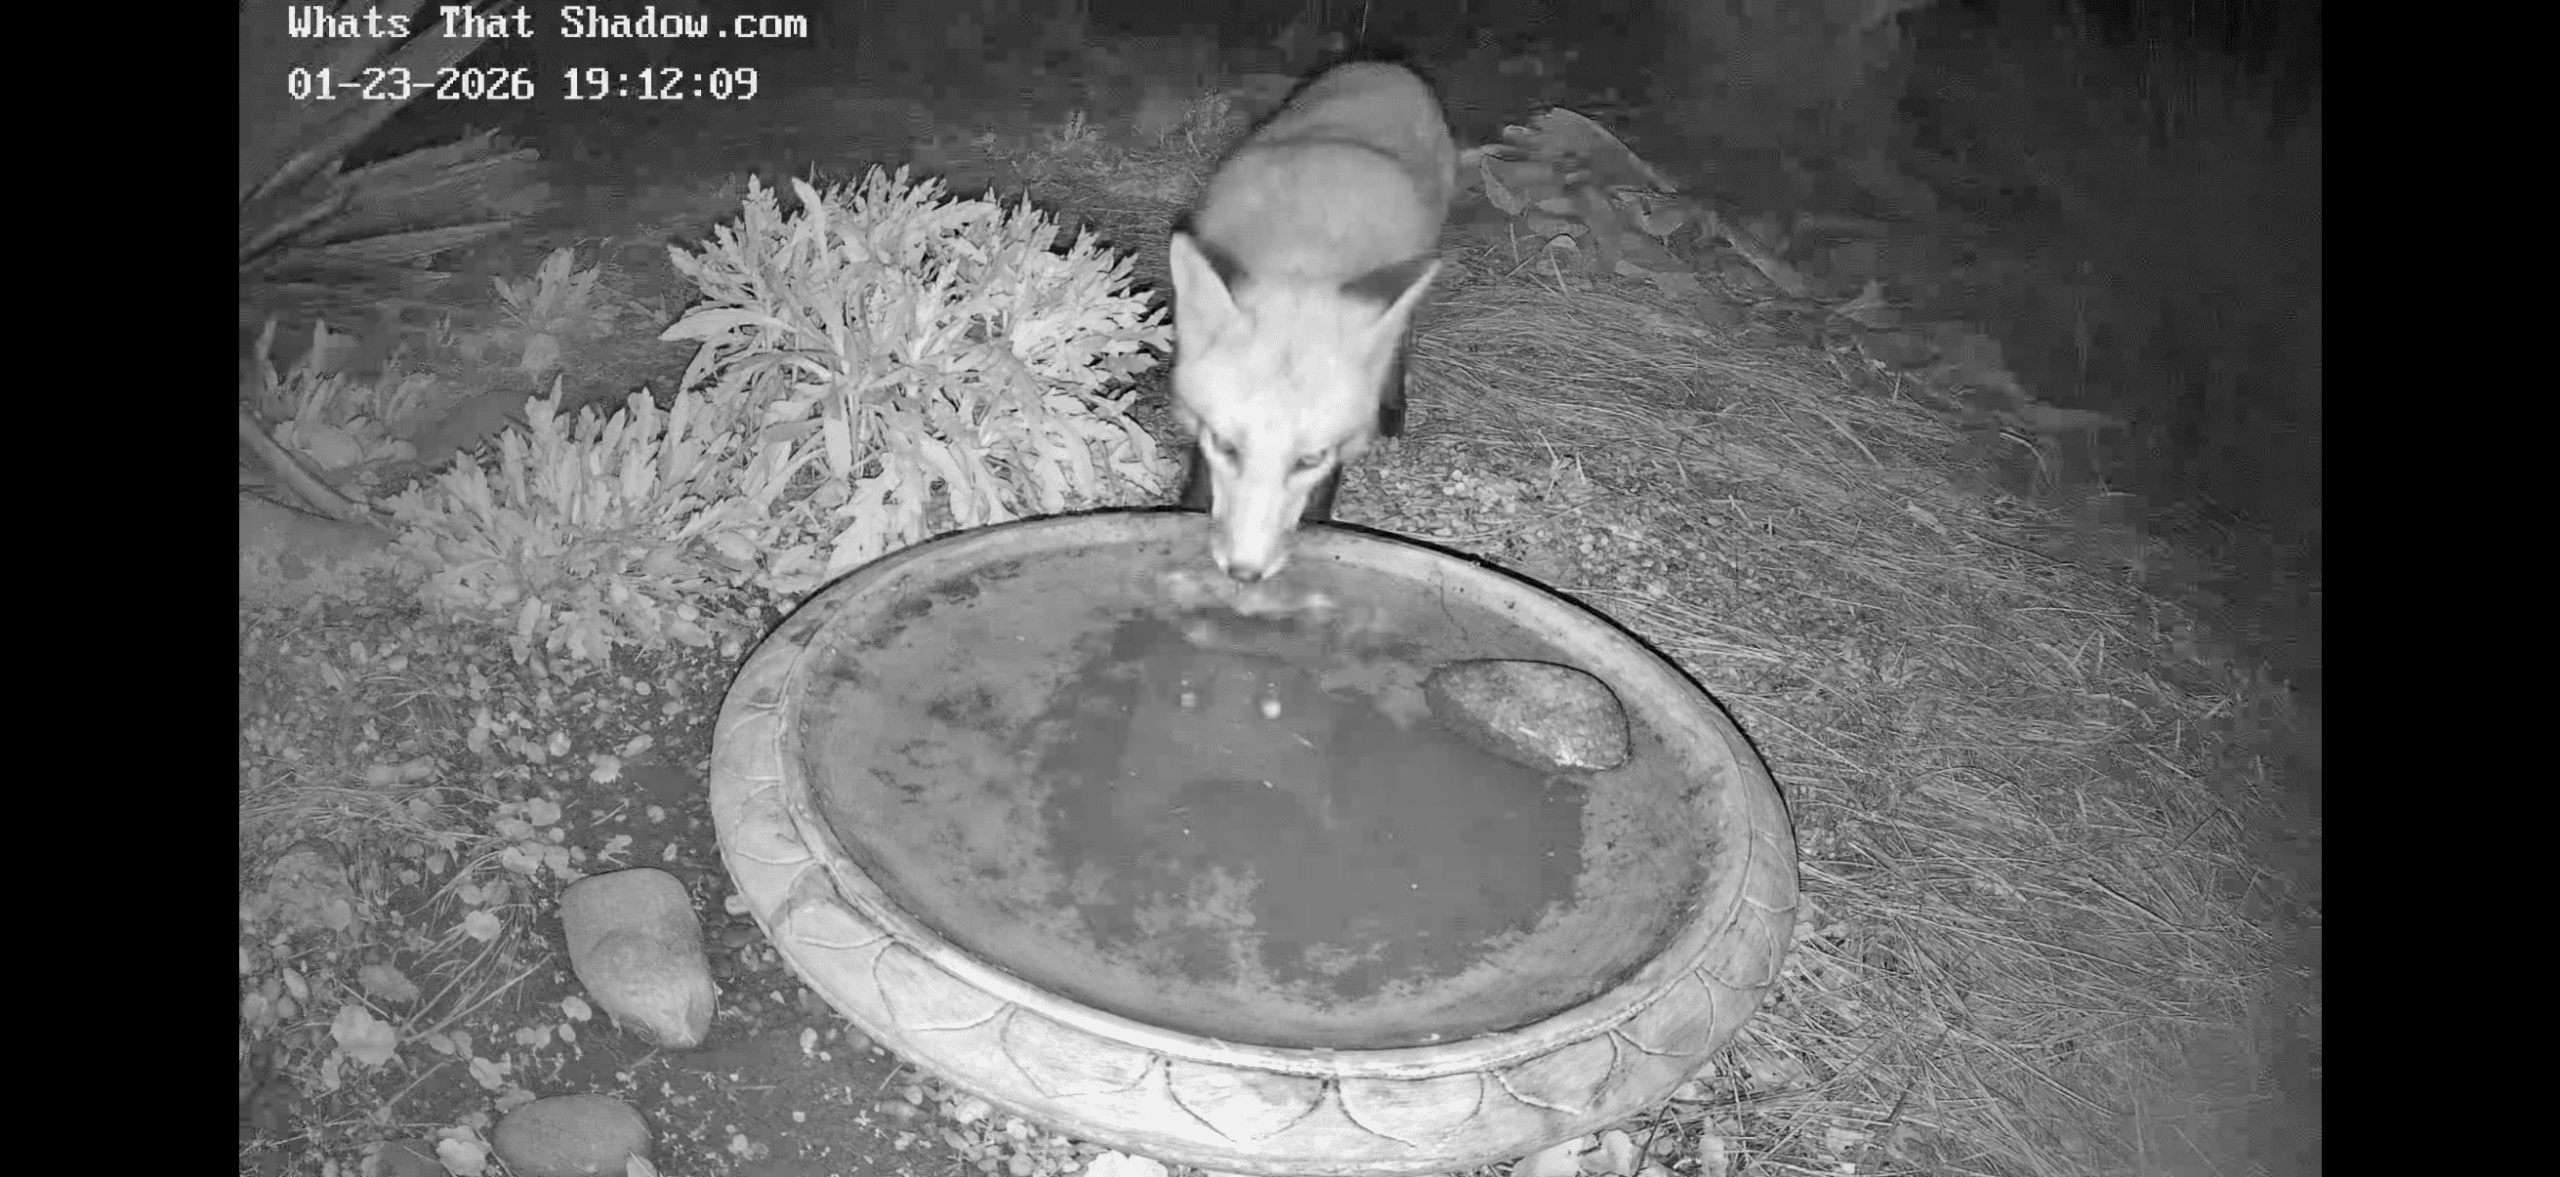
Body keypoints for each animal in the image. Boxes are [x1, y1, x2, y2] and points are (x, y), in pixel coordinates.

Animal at [1169, 61, 1457, 581]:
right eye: (1226, 446)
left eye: (1309, 460)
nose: (1244, 573)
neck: (1299, 259)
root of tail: (1386, 64)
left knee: (1400, 344)